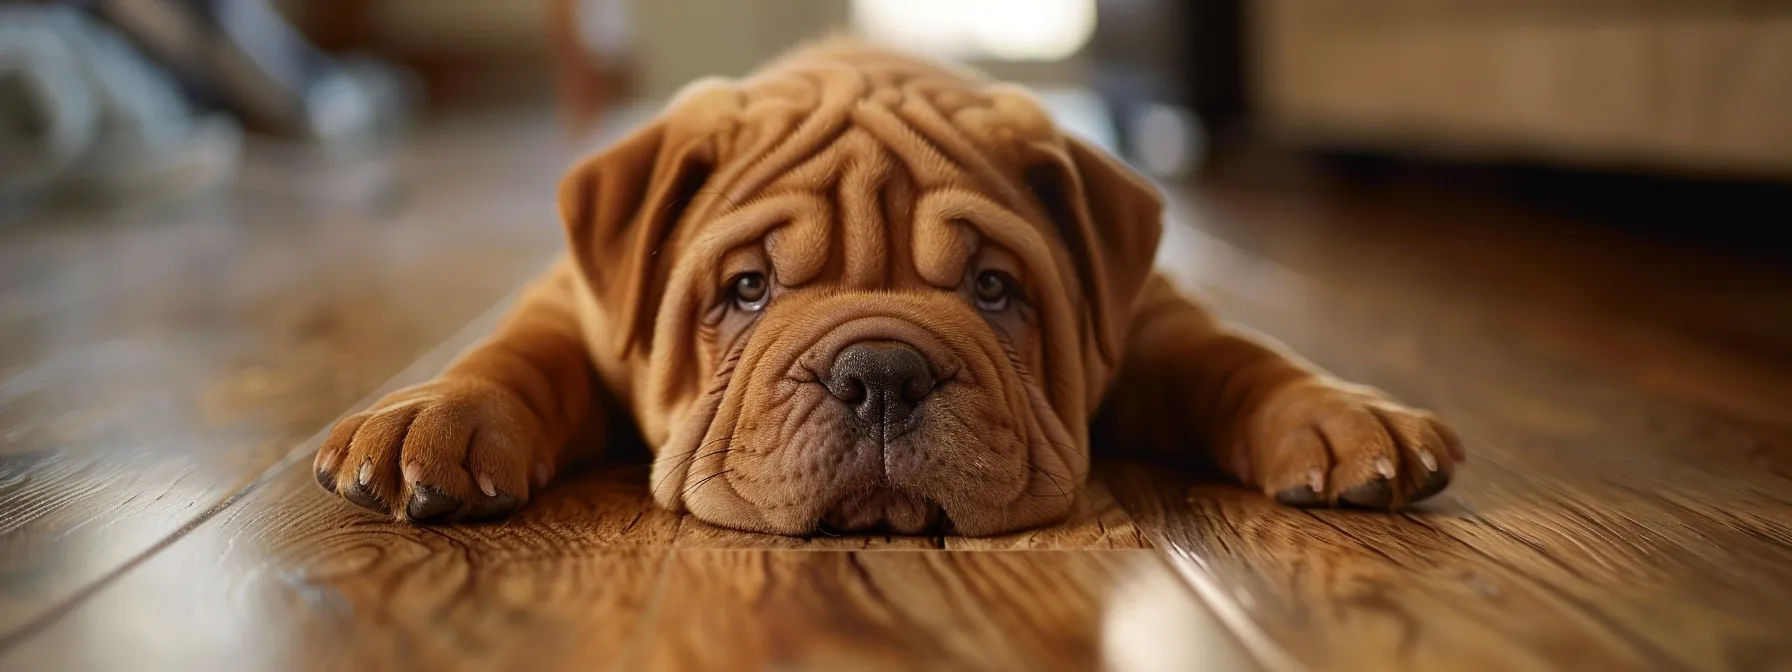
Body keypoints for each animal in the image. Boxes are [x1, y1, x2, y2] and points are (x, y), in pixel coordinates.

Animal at [308, 40, 1462, 537]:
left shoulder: (1153, 319)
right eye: (745, 288)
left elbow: (1238, 354)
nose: (880, 375)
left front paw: (1343, 415)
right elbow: (515, 353)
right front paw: (432, 422)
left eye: (995, 288)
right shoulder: (572, 307)